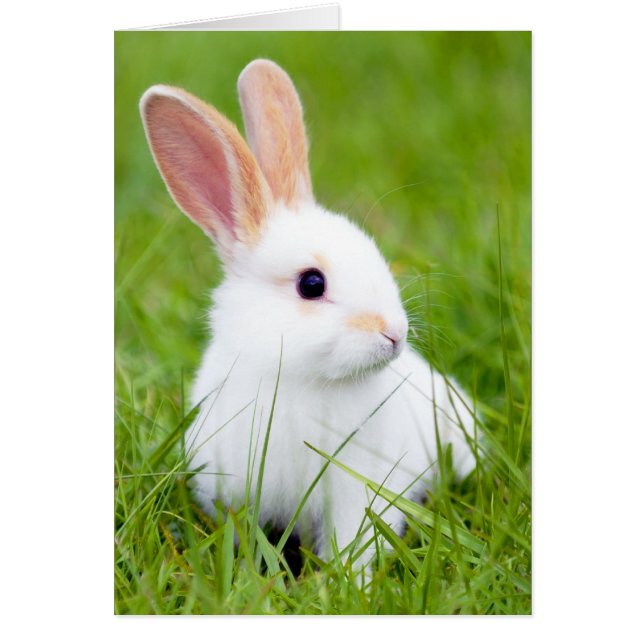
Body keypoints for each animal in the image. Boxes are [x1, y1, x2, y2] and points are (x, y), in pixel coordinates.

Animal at [139, 59, 476, 569]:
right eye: (311, 284)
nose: (394, 334)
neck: (299, 378)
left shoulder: (357, 488)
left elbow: (354, 539)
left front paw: (349, 579)